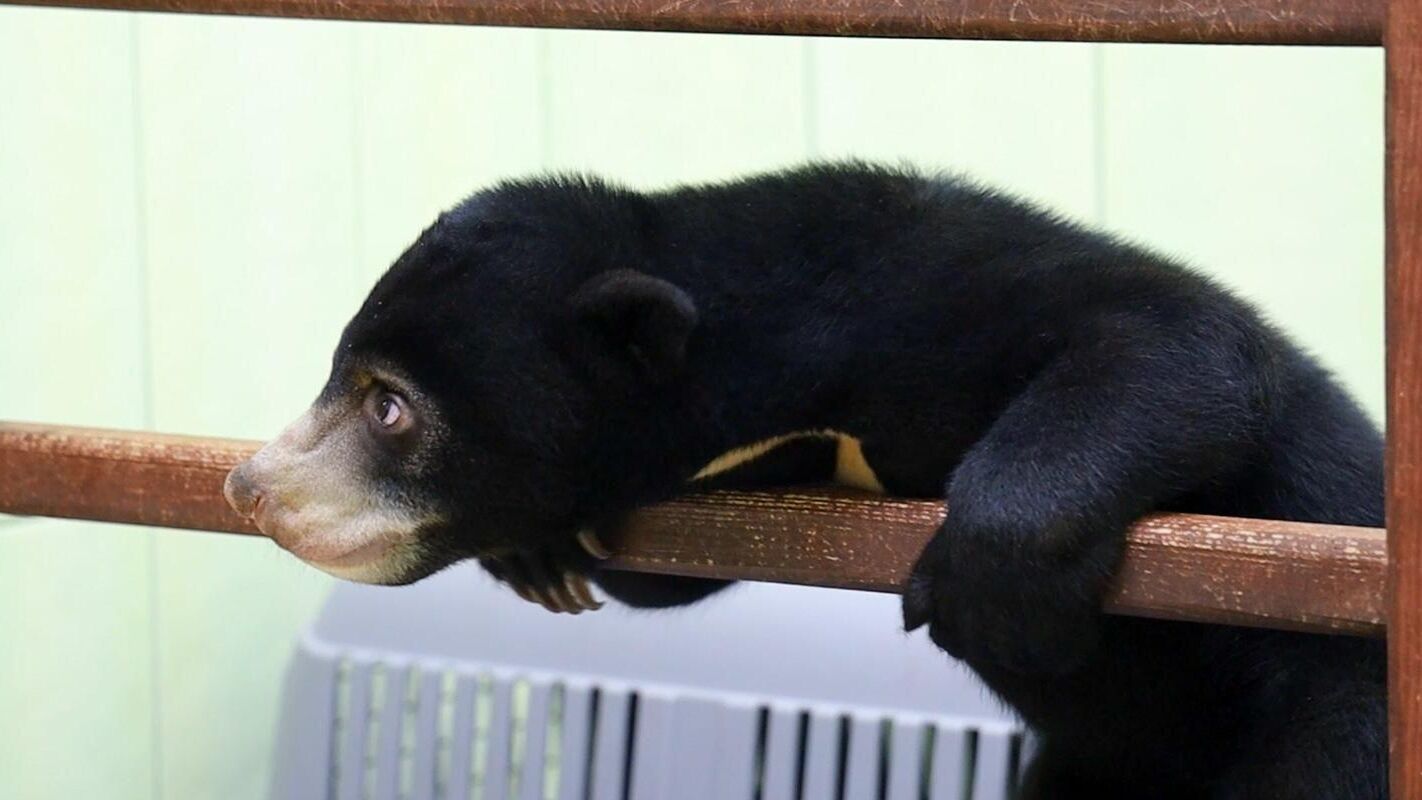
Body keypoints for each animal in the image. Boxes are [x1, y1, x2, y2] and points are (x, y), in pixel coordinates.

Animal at [224, 164, 1387, 800]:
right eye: (339, 371)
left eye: (389, 404)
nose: (251, 484)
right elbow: (661, 573)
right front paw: (542, 557)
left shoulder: (927, 291)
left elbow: (1187, 342)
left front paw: (990, 582)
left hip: (1335, 693)